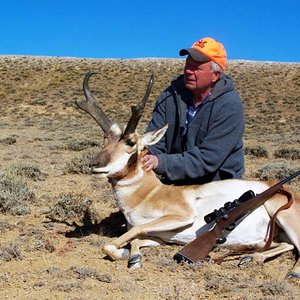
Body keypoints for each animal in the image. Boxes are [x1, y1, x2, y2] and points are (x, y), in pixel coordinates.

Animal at [76, 71, 300, 278]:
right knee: (284, 245)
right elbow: (131, 240)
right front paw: (133, 257)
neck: (150, 193)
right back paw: (251, 256)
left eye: (131, 142)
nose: (95, 165)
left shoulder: (181, 217)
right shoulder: (160, 237)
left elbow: (131, 232)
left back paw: (292, 272)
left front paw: (127, 254)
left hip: (284, 216)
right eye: (105, 138)